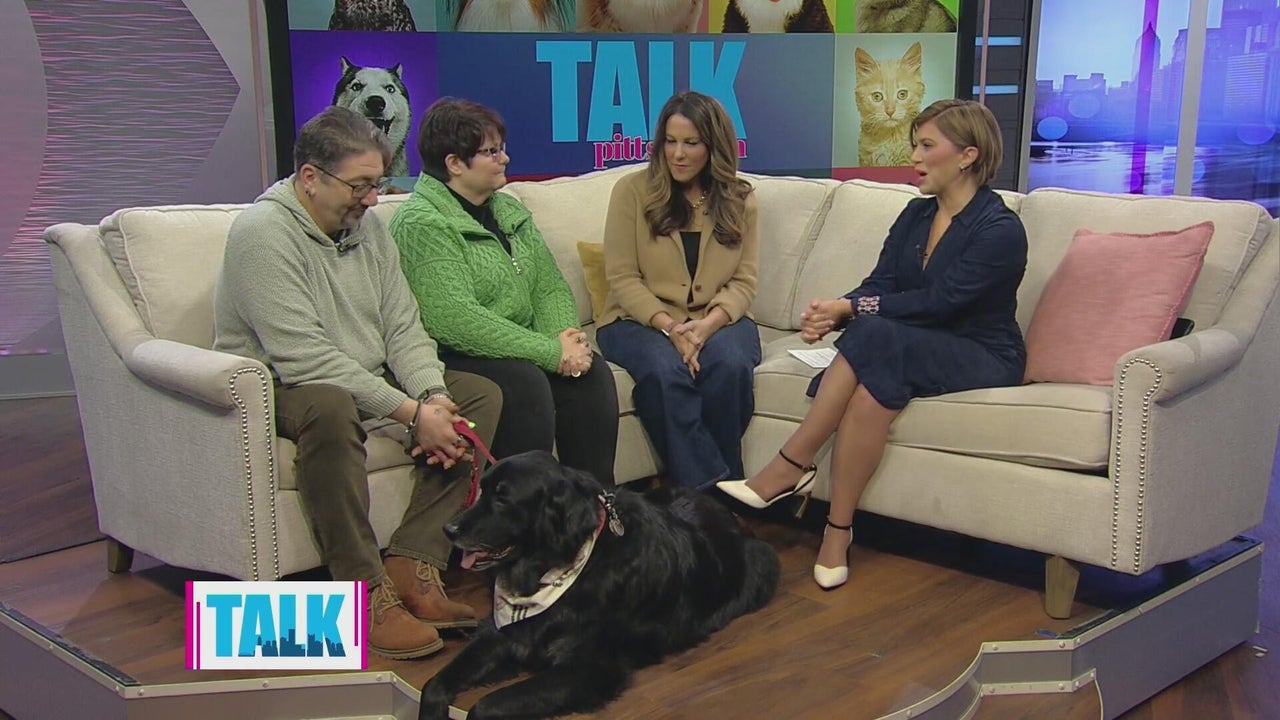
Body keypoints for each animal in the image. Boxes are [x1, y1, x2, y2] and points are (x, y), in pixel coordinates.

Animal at [418, 451, 780, 720]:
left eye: (503, 499)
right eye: (482, 489)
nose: (449, 529)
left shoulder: (590, 668)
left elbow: (485, 707)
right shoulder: (498, 634)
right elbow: (432, 686)